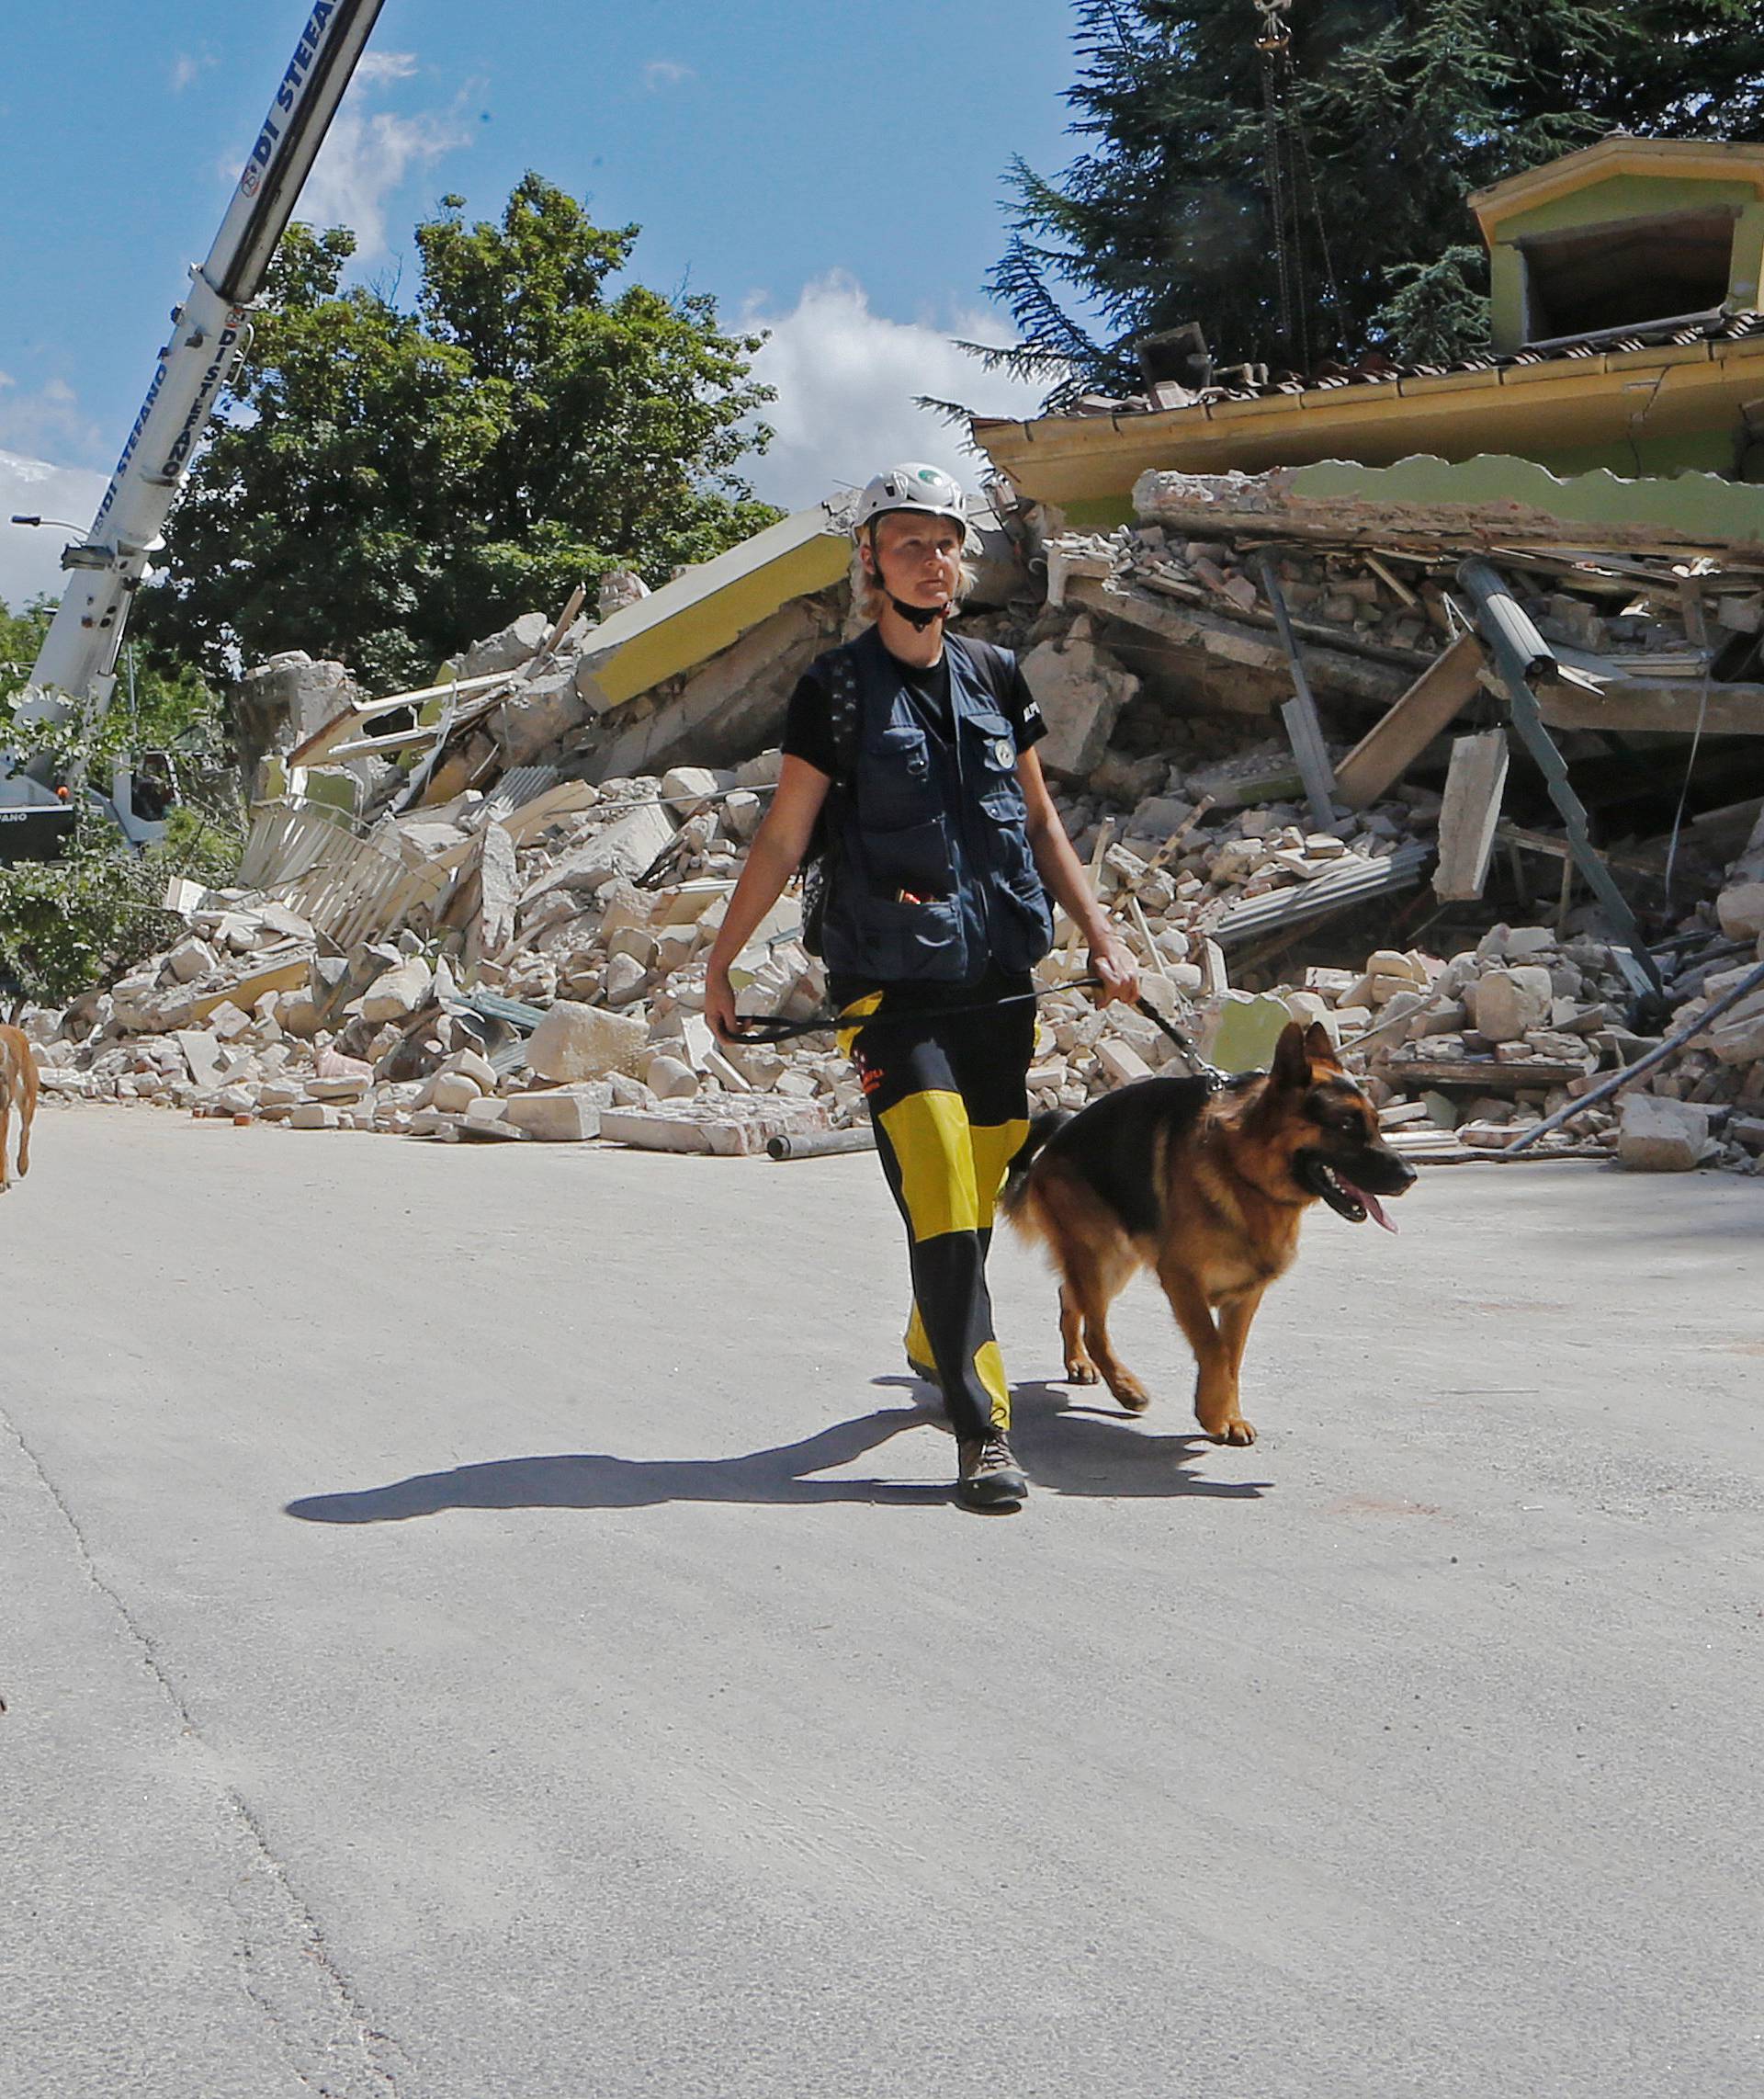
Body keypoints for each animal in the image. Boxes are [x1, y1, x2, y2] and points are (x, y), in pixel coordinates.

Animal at [1006, 1015, 1418, 1444]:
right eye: (1346, 1125)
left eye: (1376, 1124)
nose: (1410, 1176)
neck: (1243, 1171)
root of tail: (1052, 1146)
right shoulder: (1182, 1280)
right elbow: (1214, 1350)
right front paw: (1211, 1413)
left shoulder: (1245, 1296)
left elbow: (1232, 1357)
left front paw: (1228, 1415)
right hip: (1100, 1258)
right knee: (1094, 1328)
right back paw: (1125, 1387)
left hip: (1115, 1264)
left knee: (1068, 1297)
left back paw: (1079, 1362)